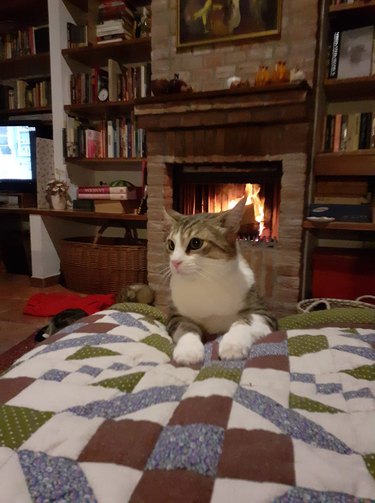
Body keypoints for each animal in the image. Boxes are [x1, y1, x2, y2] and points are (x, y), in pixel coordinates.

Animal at [165, 197, 280, 366]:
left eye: (195, 243)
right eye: (171, 245)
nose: (175, 262)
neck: (206, 281)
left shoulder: (262, 312)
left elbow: (243, 322)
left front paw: (233, 346)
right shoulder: (176, 316)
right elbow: (187, 328)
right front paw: (188, 351)